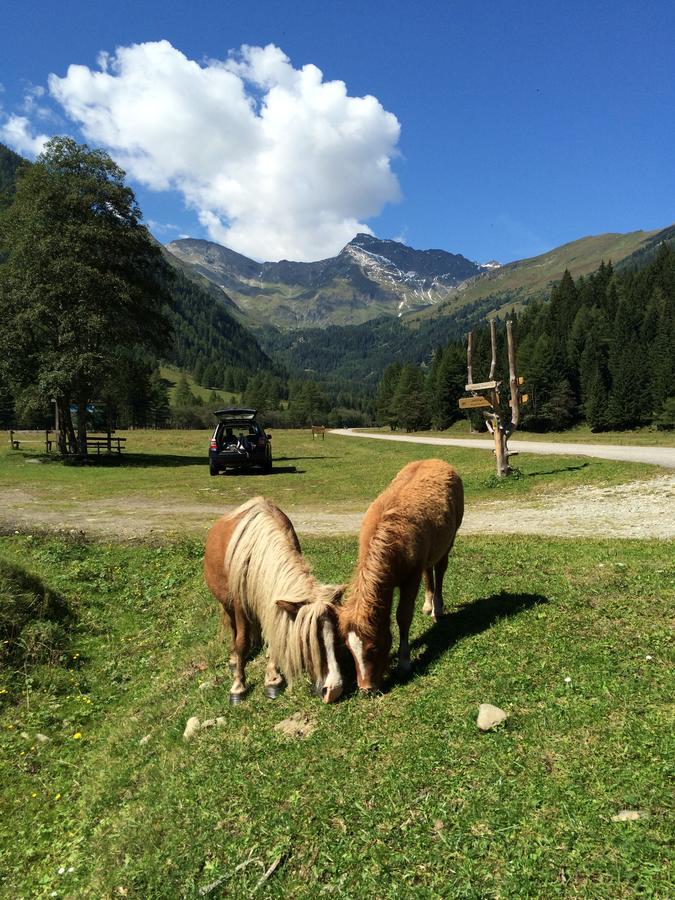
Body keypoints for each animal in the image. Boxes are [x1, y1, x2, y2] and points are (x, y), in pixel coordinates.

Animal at [203, 500, 346, 704]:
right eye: (307, 641)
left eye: (337, 637)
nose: (334, 690)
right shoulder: (240, 606)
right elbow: (241, 642)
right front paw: (238, 687)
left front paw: (272, 679)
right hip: (227, 604)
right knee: (233, 629)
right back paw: (233, 660)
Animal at [340, 460, 462, 692]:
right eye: (349, 651)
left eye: (373, 648)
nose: (366, 688)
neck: (391, 542)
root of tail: (437, 461)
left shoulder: (410, 579)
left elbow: (403, 616)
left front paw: (404, 662)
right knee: (428, 571)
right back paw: (428, 604)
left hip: (449, 540)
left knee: (440, 570)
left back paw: (437, 608)